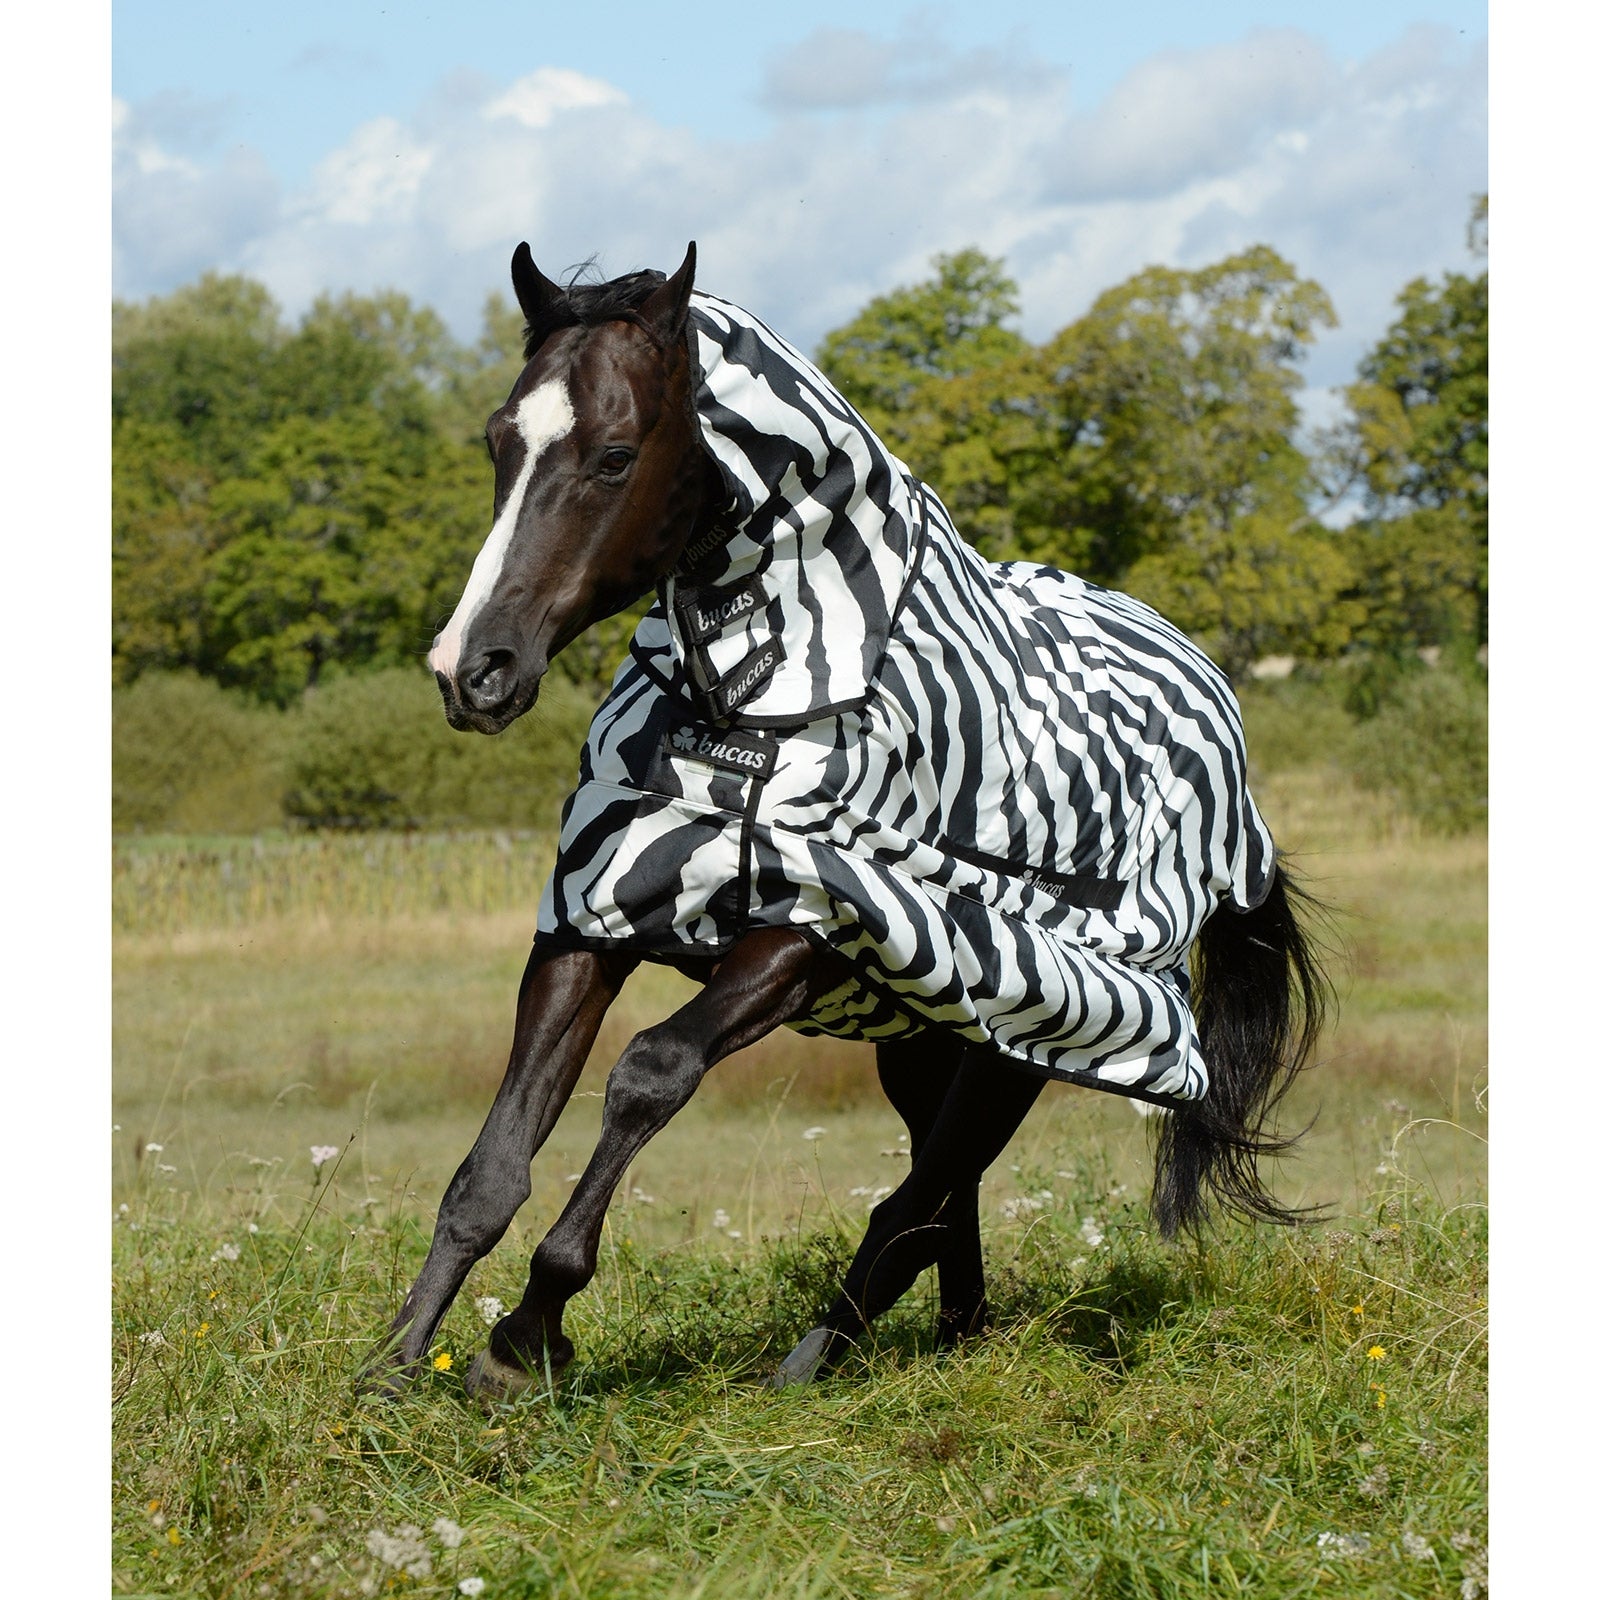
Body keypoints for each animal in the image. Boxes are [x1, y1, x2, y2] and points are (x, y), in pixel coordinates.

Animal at [363, 242, 1329, 1401]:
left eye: (613, 455)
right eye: (499, 441)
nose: (474, 669)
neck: (759, 705)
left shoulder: (811, 929)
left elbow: (649, 1073)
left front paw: (527, 1334)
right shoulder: (592, 916)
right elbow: (489, 1165)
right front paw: (393, 1365)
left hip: (1026, 1033)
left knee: (920, 1195)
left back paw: (815, 1357)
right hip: (924, 1039)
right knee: (939, 1196)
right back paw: (945, 1339)